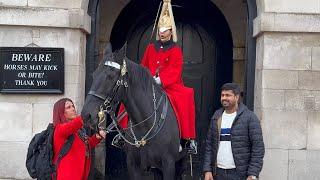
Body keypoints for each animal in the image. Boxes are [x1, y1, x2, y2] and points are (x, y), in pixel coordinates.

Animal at [81, 45, 184, 179]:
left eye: (110, 76)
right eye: (94, 74)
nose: (86, 115)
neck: (145, 125)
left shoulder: (169, 164)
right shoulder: (133, 164)